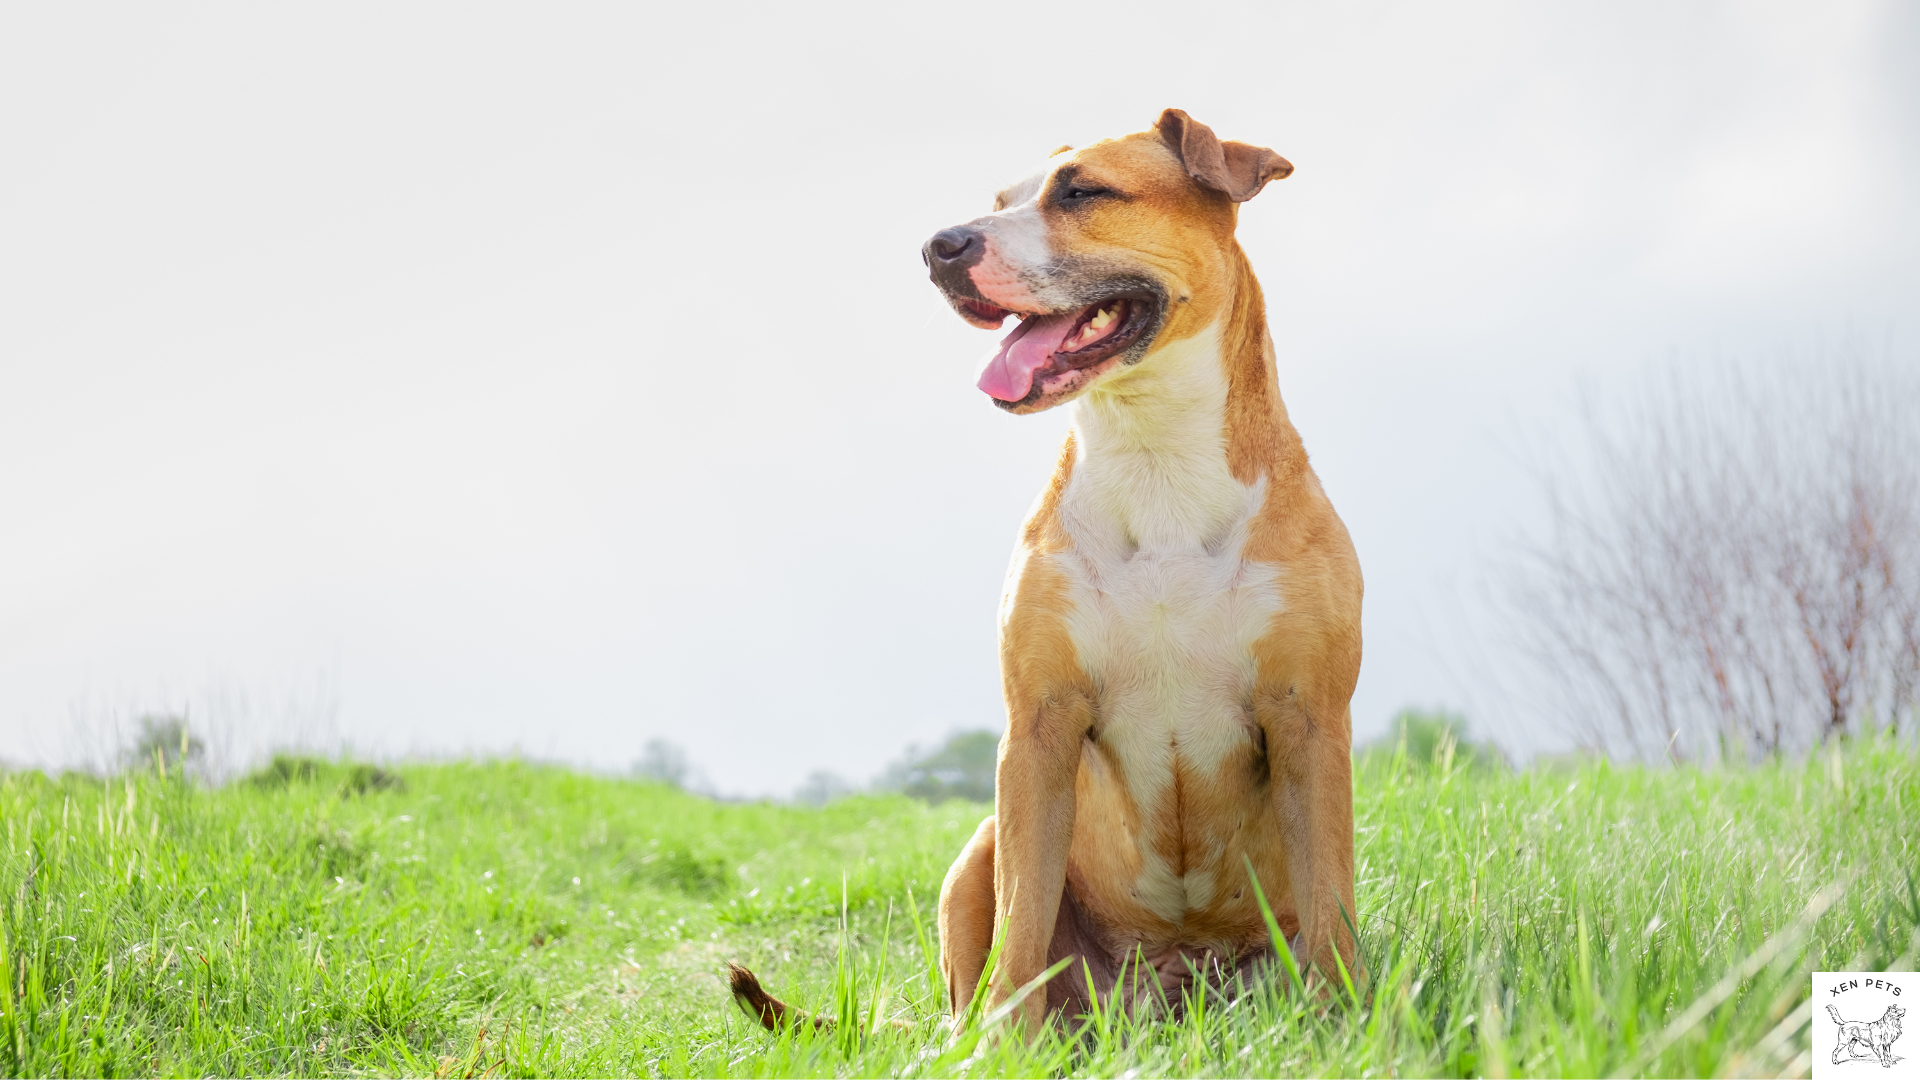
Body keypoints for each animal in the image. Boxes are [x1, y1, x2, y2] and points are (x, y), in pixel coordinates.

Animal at [721, 109, 1367, 1037]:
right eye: (999, 202)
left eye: (1083, 191)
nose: (940, 245)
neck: (1153, 453)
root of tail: (1164, 998)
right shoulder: (1038, 726)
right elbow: (1021, 918)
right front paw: (1003, 1043)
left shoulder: (1309, 718)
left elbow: (1329, 898)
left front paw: (1345, 1022)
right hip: (975, 851)